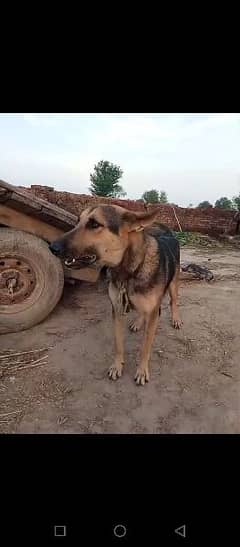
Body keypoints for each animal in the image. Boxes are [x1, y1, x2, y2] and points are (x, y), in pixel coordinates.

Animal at [50, 204, 182, 386]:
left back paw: (176, 319)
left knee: (174, 301)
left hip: (173, 284)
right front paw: (117, 366)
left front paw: (142, 371)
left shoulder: (154, 313)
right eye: (78, 221)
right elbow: (118, 343)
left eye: (94, 224)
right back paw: (138, 322)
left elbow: (145, 347)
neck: (129, 270)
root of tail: (167, 231)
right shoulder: (117, 309)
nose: (52, 247)